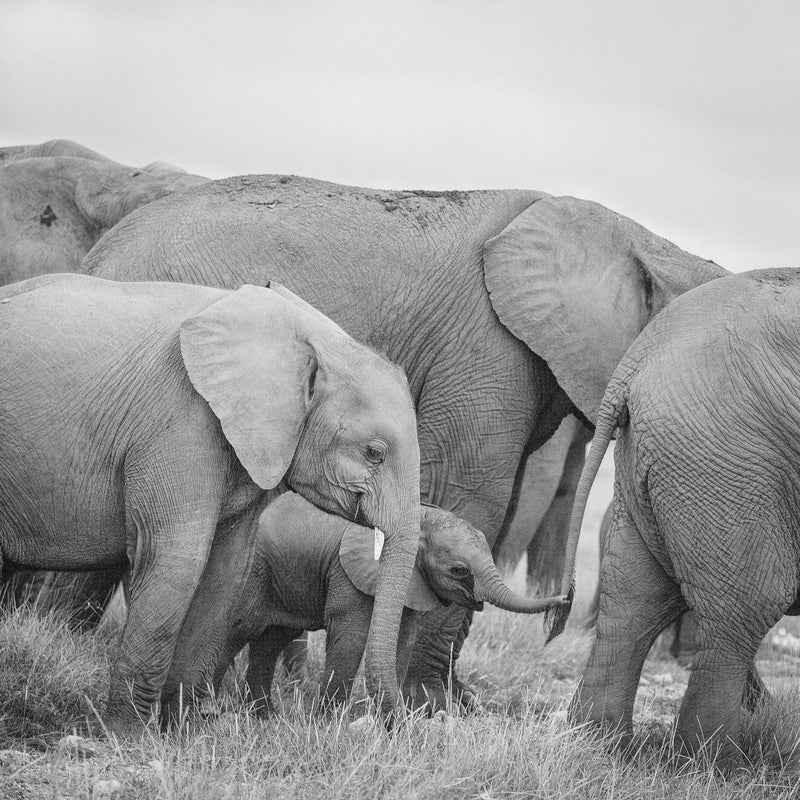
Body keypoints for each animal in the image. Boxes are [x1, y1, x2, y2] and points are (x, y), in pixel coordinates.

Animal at [0, 272, 422, 733]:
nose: (398, 722)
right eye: (374, 453)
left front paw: (187, 729)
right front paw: (126, 735)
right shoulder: (180, 418)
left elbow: (226, 567)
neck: (302, 334)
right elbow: (178, 559)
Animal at [213, 493, 564, 715]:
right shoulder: (348, 572)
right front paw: (328, 724)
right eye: (458, 570)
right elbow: (351, 638)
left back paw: (263, 717)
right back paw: (212, 707)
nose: (564, 599)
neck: (417, 517)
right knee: (238, 629)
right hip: (253, 571)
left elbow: (403, 641)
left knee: (271, 640)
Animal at [557, 268, 800, 770]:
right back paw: (718, 768)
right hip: (729, 457)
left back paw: (599, 745)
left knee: (635, 602)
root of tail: (636, 359)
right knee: (746, 611)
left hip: (661, 457)